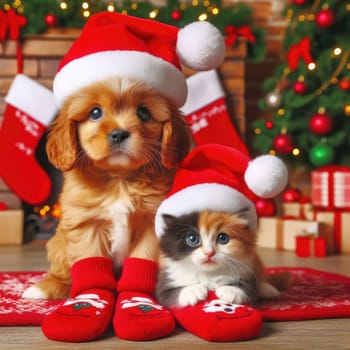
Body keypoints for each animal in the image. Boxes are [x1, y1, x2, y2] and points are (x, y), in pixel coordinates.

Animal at [22, 78, 191, 300]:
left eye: (143, 112)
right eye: (95, 113)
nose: (118, 134)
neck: (119, 180)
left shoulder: (150, 223)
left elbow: (142, 259)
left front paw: (136, 294)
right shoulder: (86, 222)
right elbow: (92, 263)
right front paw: (94, 295)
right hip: (58, 244)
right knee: (62, 271)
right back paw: (45, 287)